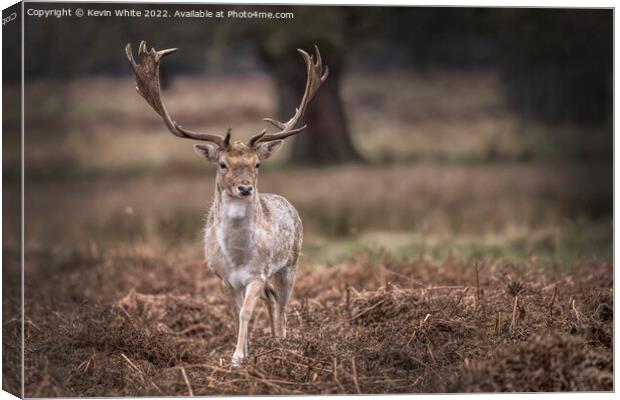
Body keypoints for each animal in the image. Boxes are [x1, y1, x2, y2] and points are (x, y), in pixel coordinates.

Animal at [126, 41, 330, 368]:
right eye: (223, 164)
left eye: (257, 163)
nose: (245, 188)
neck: (237, 258)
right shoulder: (223, 279)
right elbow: (235, 315)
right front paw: (241, 354)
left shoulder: (257, 274)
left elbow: (247, 311)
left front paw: (237, 358)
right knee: (272, 301)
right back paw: (273, 342)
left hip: (291, 263)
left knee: (283, 303)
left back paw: (283, 344)